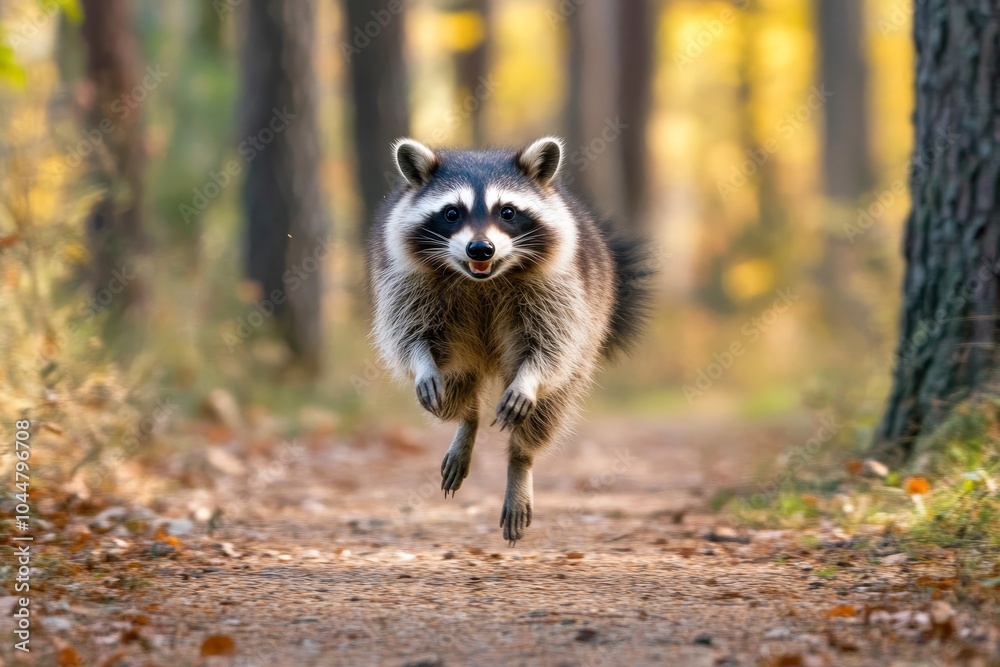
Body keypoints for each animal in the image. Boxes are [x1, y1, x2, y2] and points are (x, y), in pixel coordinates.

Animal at [367, 136, 651, 544]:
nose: (480, 249)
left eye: (508, 212)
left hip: (588, 333)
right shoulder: (406, 279)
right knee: (453, 393)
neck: (482, 279)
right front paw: (422, 363)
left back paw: (521, 461)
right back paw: (468, 421)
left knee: (549, 407)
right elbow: (409, 332)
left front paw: (528, 382)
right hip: (457, 354)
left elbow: (552, 343)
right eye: (451, 213)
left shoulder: (561, 287)